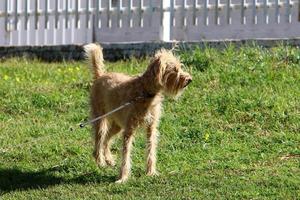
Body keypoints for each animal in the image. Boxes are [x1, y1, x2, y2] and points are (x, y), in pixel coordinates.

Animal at [84, 43, 192, 183]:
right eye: (174, 69)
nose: (189, 79)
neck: (145, 92)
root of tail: (101, 75)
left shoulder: (151, 129)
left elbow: (151, 151)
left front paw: (151, 172)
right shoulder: (129, 131)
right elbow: (126, 155)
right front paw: (123, 177)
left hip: (117, 126)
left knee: (106, 139)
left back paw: (109, 159)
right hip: (100, 120)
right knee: (99, 140)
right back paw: (101, 161)